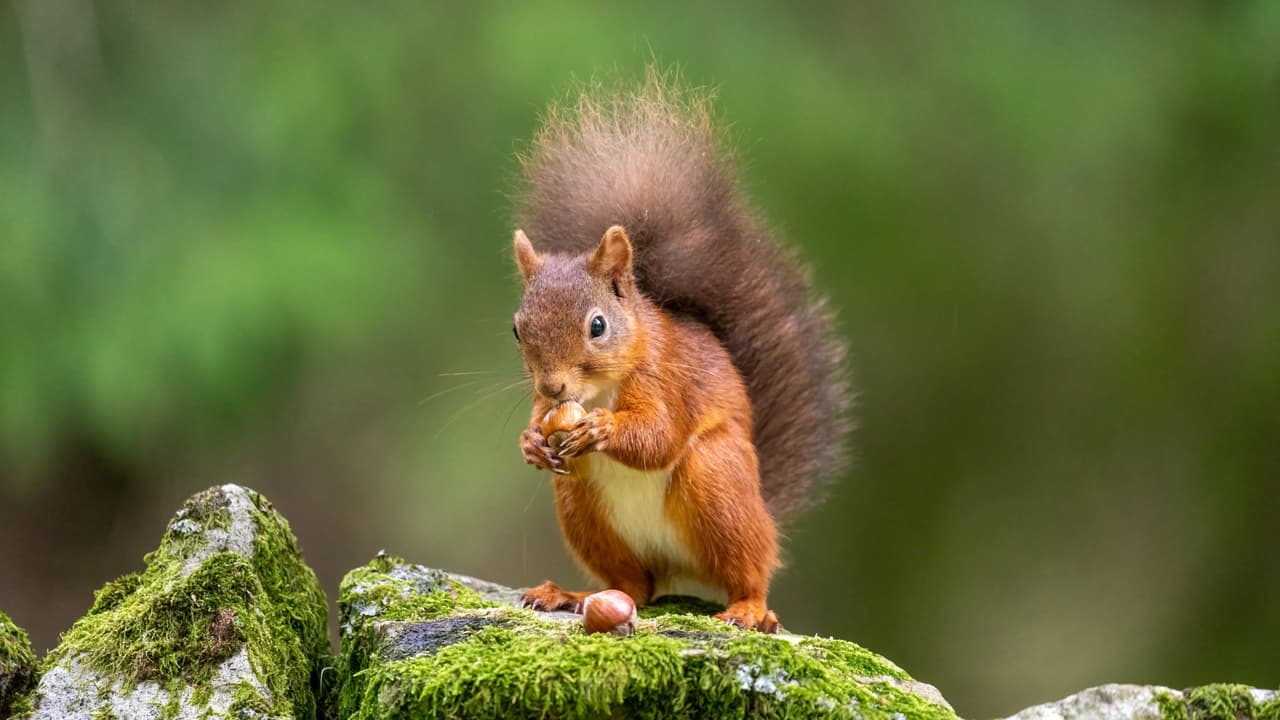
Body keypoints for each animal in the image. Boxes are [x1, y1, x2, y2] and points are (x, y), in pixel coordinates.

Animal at [509, 71, 850, 632]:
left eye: (598, 326)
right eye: (516, 330)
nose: (553, 386)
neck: (601, 388)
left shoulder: (668, 380)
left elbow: (659, 435)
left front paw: (602, 429)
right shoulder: (547, 408)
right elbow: (543, 427)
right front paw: (531, 443)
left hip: (717, 482)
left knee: (750, 570)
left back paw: (749, 609)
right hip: (584, 508)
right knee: (633, 586)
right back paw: (571, 594)